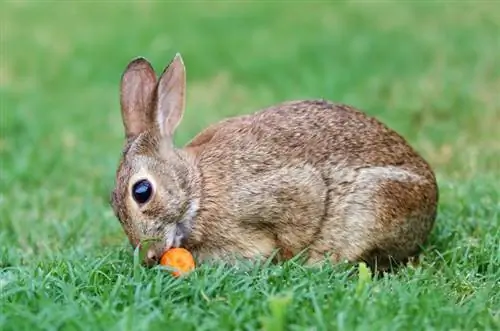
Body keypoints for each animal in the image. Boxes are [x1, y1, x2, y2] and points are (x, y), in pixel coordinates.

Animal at [108, 53, 438, 272]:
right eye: (113, 203)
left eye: (142, 192)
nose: (149, 256)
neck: (197, 188)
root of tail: (431, 201)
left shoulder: (286, 191)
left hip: (378, 202)